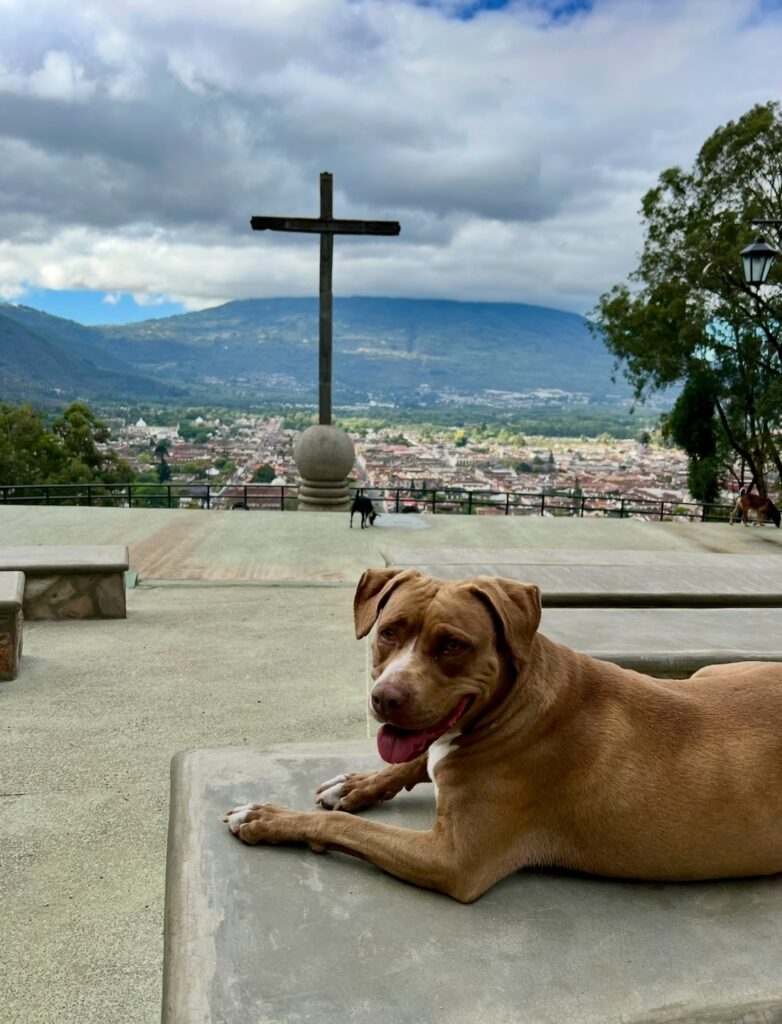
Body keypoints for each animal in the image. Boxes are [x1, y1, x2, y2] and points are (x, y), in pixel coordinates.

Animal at [223, 573, 781, 901]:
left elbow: (345, 827)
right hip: (711, 673)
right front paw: (357, 785)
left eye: (452, 645)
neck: (510, 705)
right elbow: (418, 759)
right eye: (388, 631)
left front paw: (267, 818)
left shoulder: (452, 859)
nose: (385, 698)